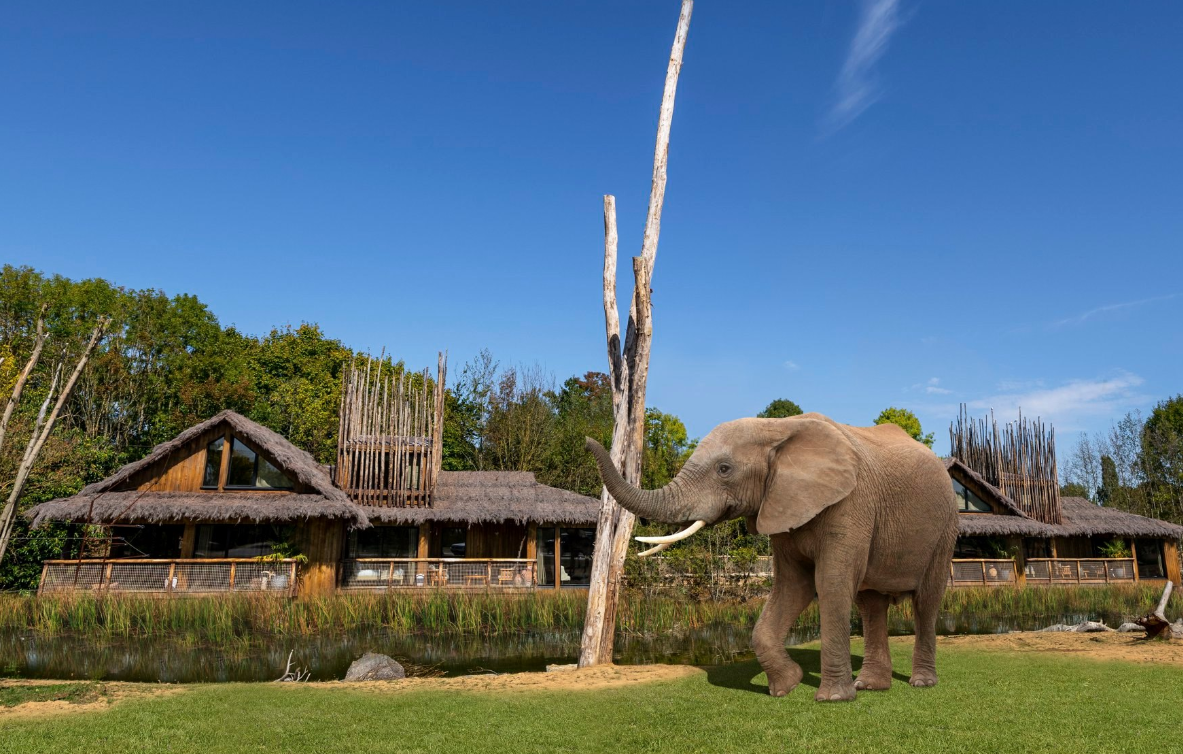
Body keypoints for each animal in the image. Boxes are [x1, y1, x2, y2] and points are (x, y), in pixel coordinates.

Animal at [586, 411, 955, 700]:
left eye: (724, 469)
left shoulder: (851, 503)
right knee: (871, 603)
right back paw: (871, 686)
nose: (589, 441)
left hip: (945, 529)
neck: (777, 428)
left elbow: (831, 583)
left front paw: (832, 699)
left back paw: (921, 683)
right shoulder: (780, 504)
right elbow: (794, 585)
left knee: (926, 600)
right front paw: (786, 687)